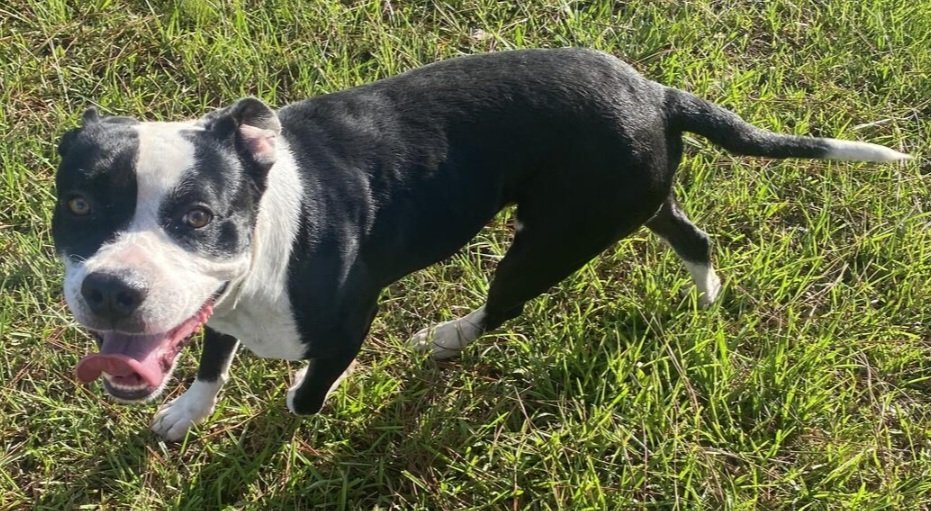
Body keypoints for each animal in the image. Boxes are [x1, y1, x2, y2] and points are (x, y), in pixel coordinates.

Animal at [51, 49, 912, 440]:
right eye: (80, 203)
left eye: (198, 216)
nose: (111, 288)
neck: (266, 241)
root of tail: (658, 92)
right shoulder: (215, 311)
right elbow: (210, 356)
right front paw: (188, 410)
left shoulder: (347, 318)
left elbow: (305, 389)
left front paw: (299, 401)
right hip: (627, 198)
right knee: (689, 232)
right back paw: (705, 294)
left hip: (546, 245)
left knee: (503, 305)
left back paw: (447, 335)